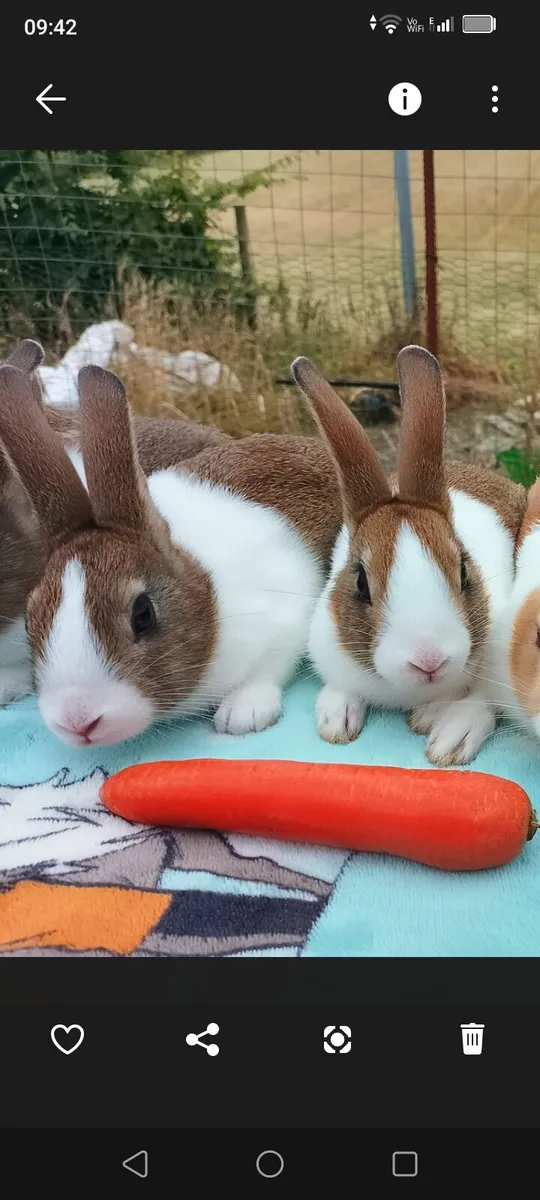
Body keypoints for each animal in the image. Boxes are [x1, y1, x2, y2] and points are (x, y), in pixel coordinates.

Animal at [291, 346, 527, 765]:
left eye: (464, 571)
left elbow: (482, 702)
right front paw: (336, 720)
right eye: (360, 583)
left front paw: (447, 735)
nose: (429, 660)